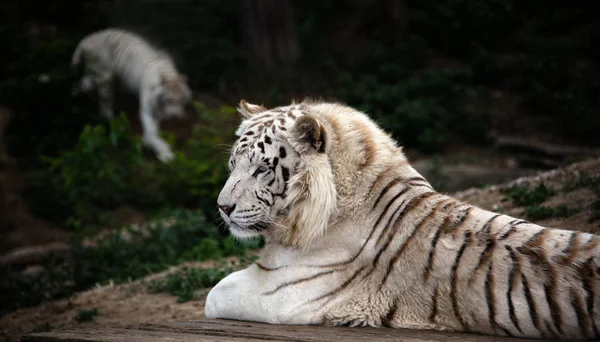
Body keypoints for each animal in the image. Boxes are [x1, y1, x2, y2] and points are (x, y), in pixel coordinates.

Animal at [70, 27, 193, 162]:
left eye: (181, 100)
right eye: (169, 100)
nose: (175, 116)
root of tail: (87, 39)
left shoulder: (158, 112)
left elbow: (154, 130)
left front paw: (152, 145)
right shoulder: (148, 110)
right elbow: (151, 132)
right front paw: (164, 152)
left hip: (92, 77)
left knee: (78, 85)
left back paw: (74, 104)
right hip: (105, 79)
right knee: (104, 105)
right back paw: (109, 120)